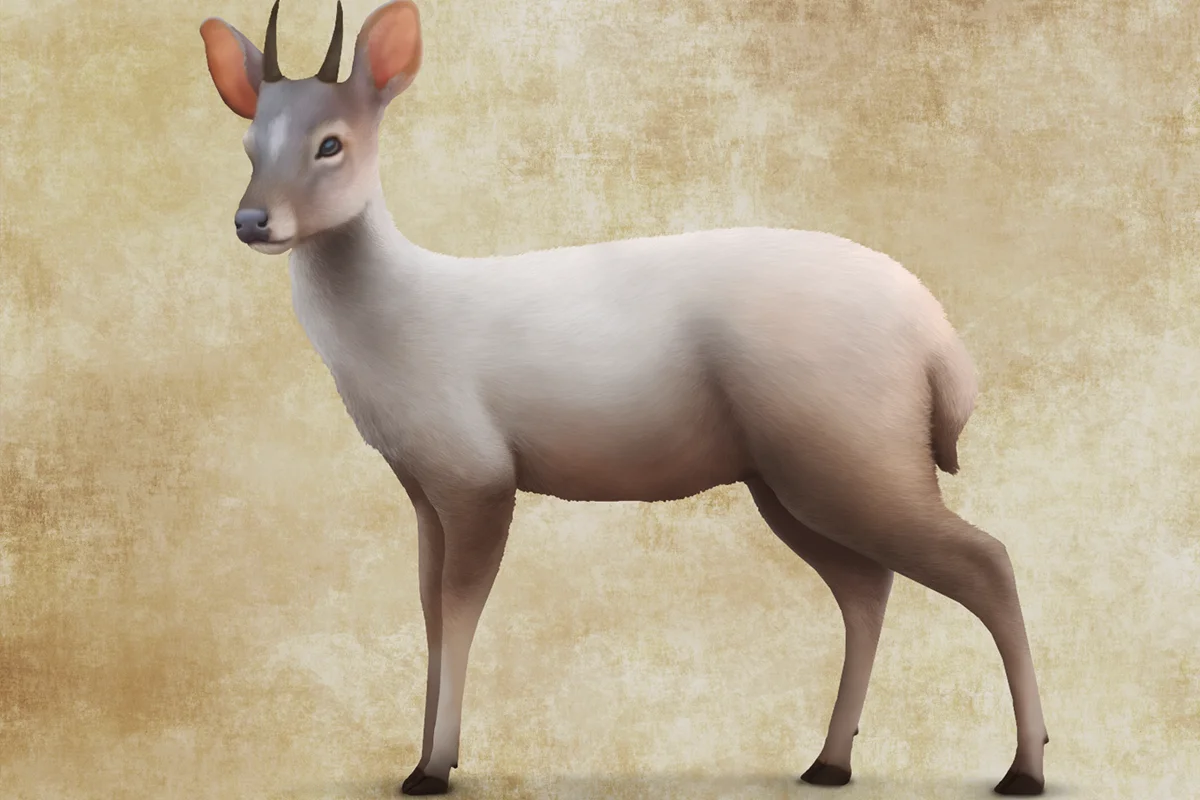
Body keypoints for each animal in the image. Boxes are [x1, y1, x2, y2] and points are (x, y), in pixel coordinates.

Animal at [198, 1, 1050, 795]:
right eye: (248, 147)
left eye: (330, 143)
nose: (251, 220)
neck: (390, 334)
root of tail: (943, 348)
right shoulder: (423, 488)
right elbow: (430, 615)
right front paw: (422, 760)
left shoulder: (478, 472)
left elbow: (461, 613)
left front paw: (435, 767)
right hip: (789, 477)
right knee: (868, 587)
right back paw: (829, 762)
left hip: (849, 449)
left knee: (986, 560)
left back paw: (1023, 769)